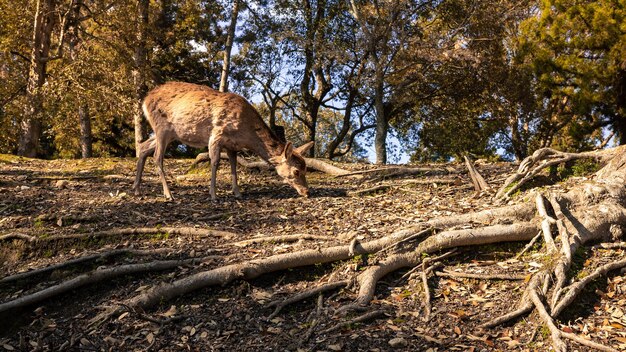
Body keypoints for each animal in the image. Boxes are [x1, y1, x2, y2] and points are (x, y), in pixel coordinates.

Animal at [133, 81, 314, 199]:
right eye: (296, 171)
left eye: (306, 168)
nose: (307, 192)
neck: (245, 133)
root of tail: (145, 100)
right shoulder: (217, 134)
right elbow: (215, 162)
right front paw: (213, 194)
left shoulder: (232, 145)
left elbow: (233, 165)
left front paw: (237, 193)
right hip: (161, 127)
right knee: (157, 156)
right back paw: (168, 194)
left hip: (169, 133)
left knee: (143, 147)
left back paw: (137, 189)